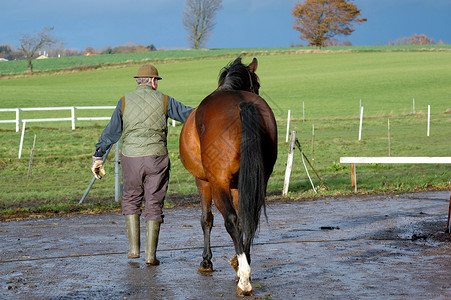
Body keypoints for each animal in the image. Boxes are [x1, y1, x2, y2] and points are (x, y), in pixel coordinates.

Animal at [180, 56, 278, 296]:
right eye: (257, 84)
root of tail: (242, 103)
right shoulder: (239, 185)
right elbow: (244, 220)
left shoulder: (203, 181)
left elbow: (206, 219)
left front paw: (206, 261)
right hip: (255, 182)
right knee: (249, 218)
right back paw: (243, 267)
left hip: (218, 184)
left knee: (231, 220)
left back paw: (244, 279)